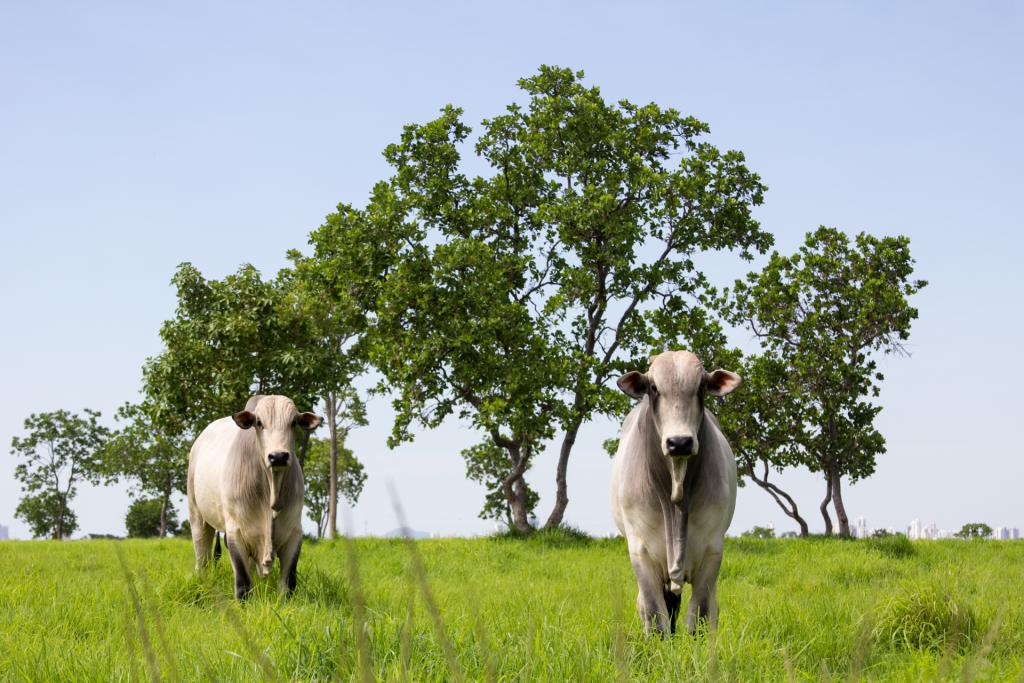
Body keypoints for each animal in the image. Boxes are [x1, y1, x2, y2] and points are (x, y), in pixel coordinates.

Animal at [187, 395, 319, 598]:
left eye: (293, 422)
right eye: (259, 422)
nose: (278, 456)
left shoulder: (294, 533)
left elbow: (288, 582)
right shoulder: (235, 532)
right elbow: (242, 582)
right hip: (197, 515)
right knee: (202, 556)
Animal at [610, 352, 741, 634]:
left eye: (701, 387)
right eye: (653, 387)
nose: (679, 442)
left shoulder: (712, 551)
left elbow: (700, 615)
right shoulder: (641, 553)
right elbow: (655, 617)